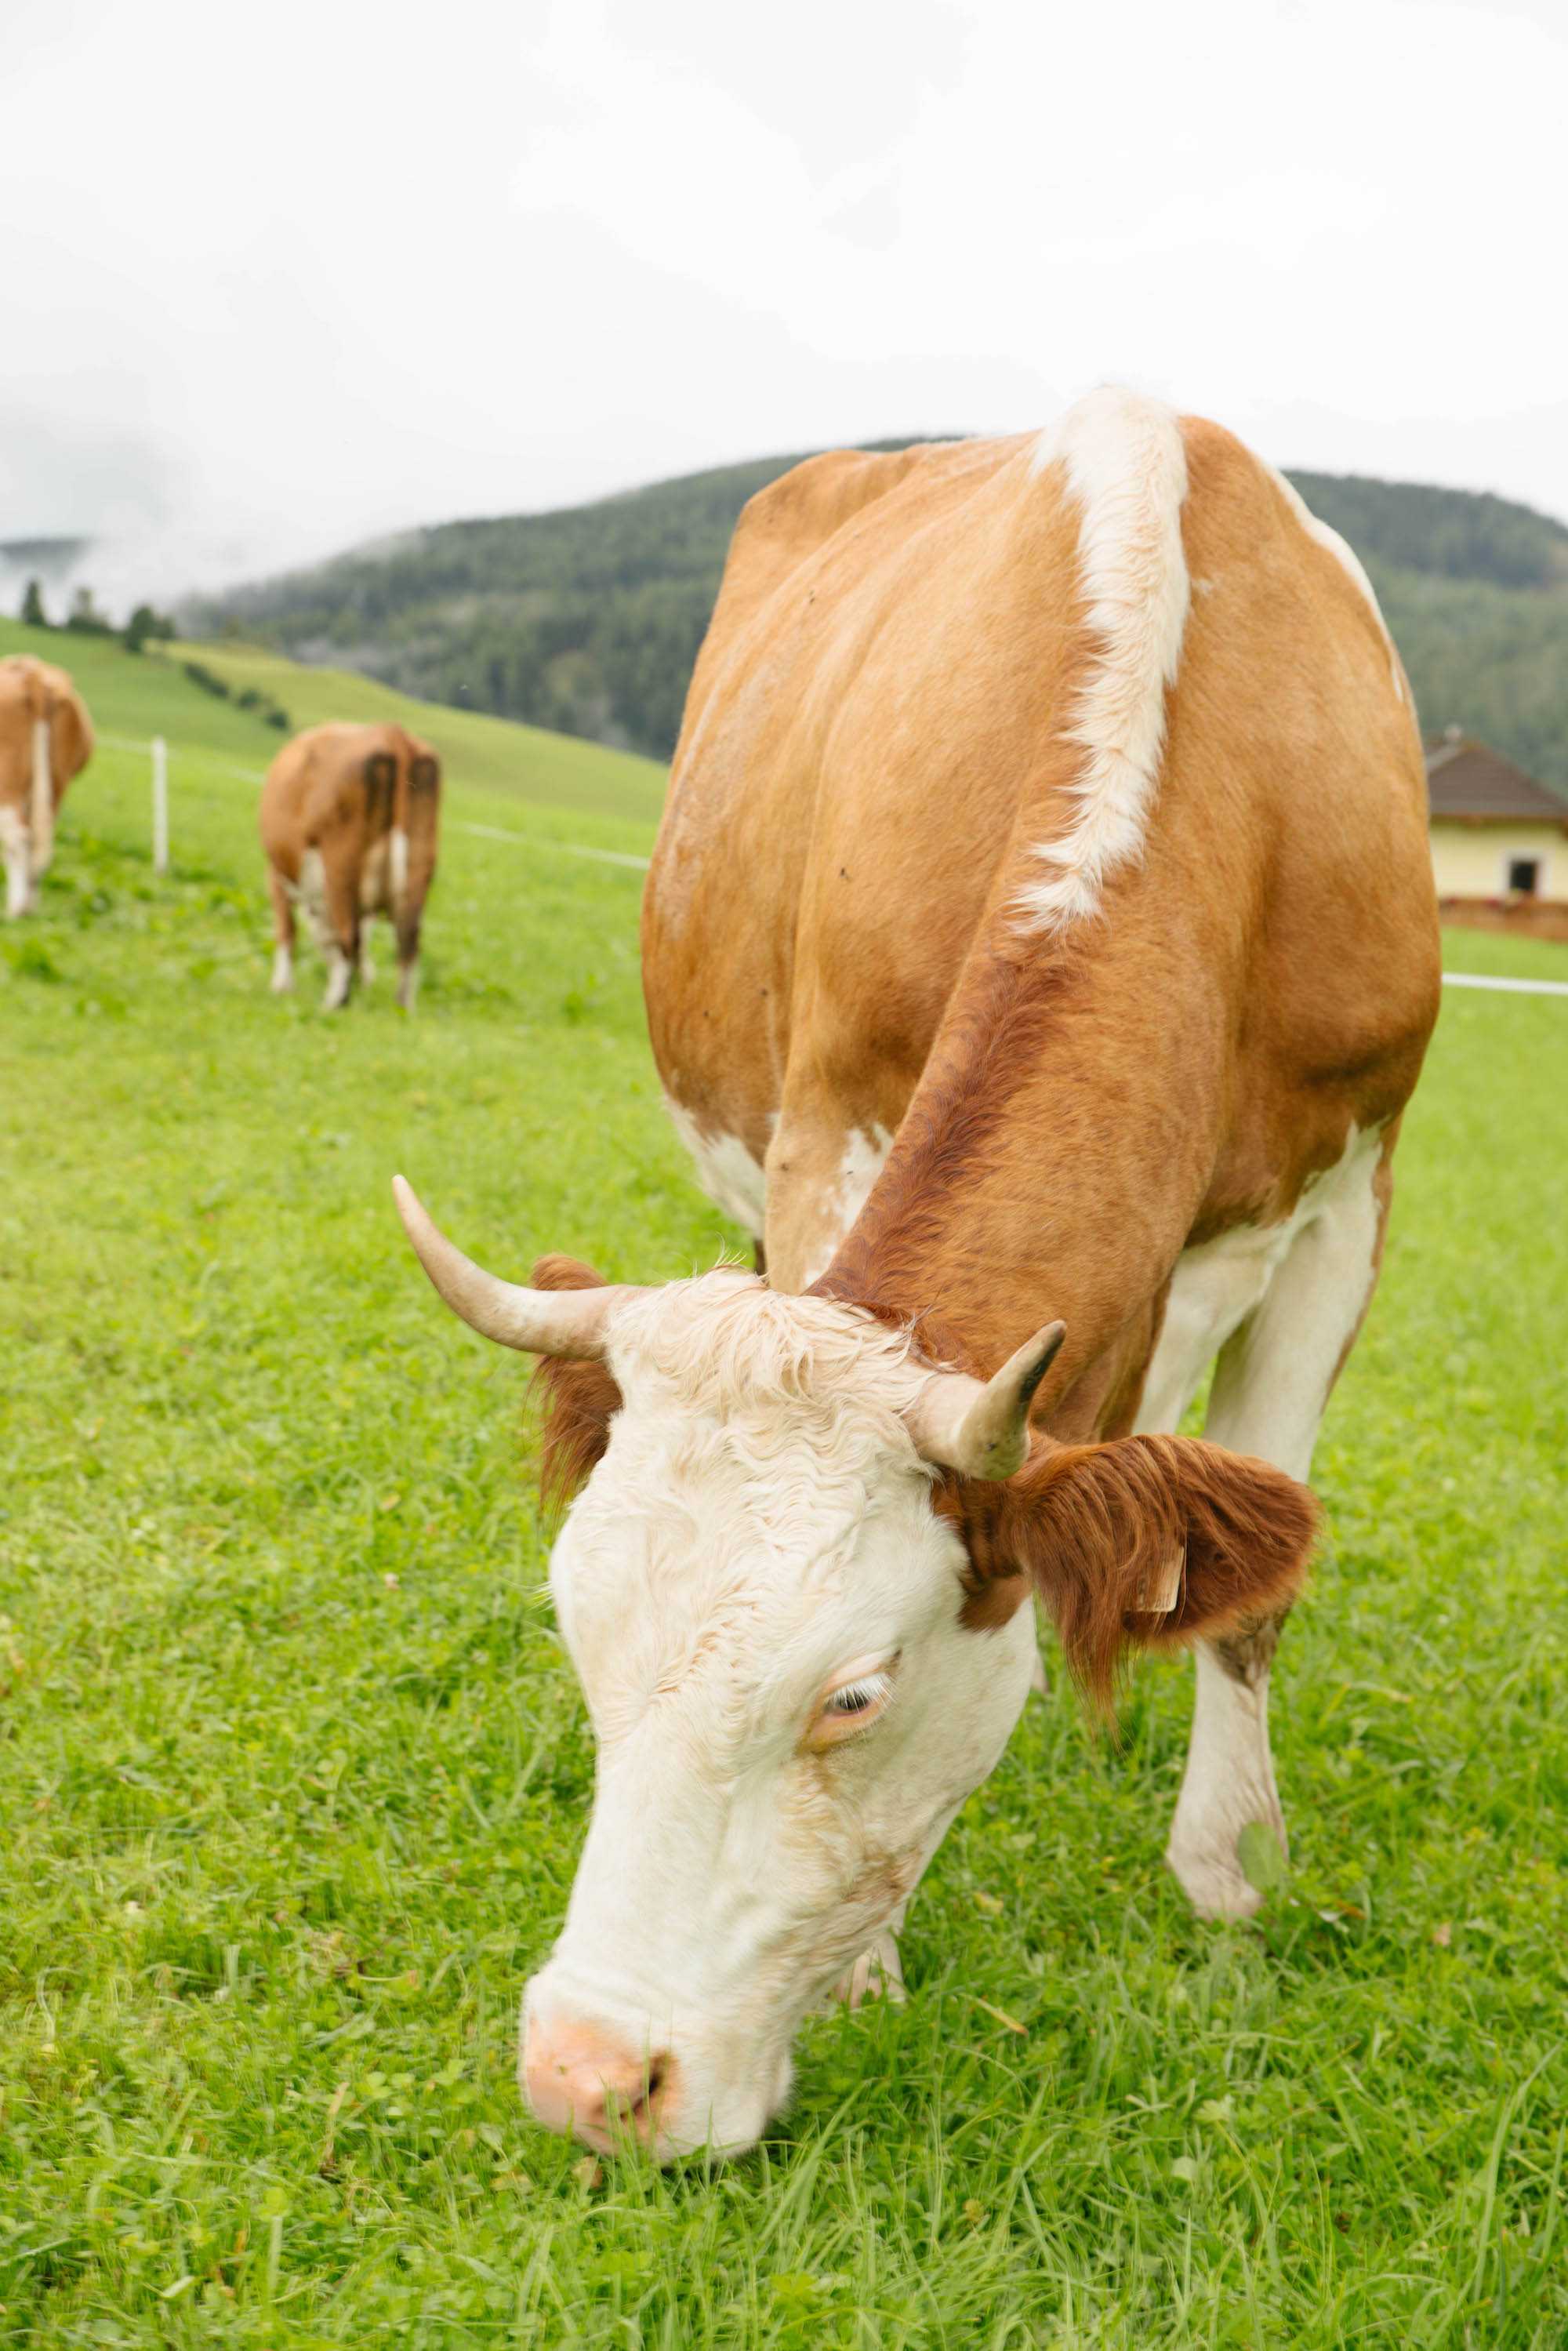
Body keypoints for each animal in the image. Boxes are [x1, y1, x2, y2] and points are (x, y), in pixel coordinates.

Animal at [0, 663, 94, 926]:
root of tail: (33, 676)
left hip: (8, 782)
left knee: (18, 838)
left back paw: (17, 910)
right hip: (55, 785)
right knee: (39, 843)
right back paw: (28, 906)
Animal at [260, 714, 439, 1011]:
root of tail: (393, 734)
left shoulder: (277, 874)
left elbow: (287, 929)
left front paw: (282, 986)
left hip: (340, 864)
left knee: (349, 934)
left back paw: (334, 1002)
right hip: (419, 860)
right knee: (408, 940)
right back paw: (402, 1007)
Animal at [399, 390, 1439, 2163]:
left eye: (854, 1696)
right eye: (579, 1633)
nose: (587, 2078)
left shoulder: (1345, 1201)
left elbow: (1250, 1595)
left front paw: (1229, 1863)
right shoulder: (830, 1121)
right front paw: (876, 1962)